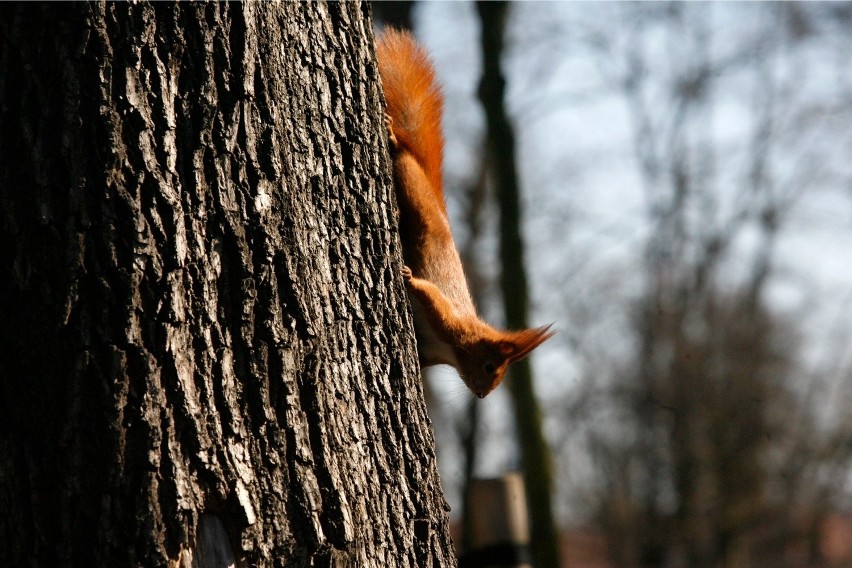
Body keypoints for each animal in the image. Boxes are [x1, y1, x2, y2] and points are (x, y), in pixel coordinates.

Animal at [378, 27, 552, 400]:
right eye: (489, 367)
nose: (483, 394)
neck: (454, 349)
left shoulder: (430, 350)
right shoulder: (449, 318)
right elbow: (429, 294)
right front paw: (409, 278)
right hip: (416, 196)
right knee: (404, 159)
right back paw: (393, 138)